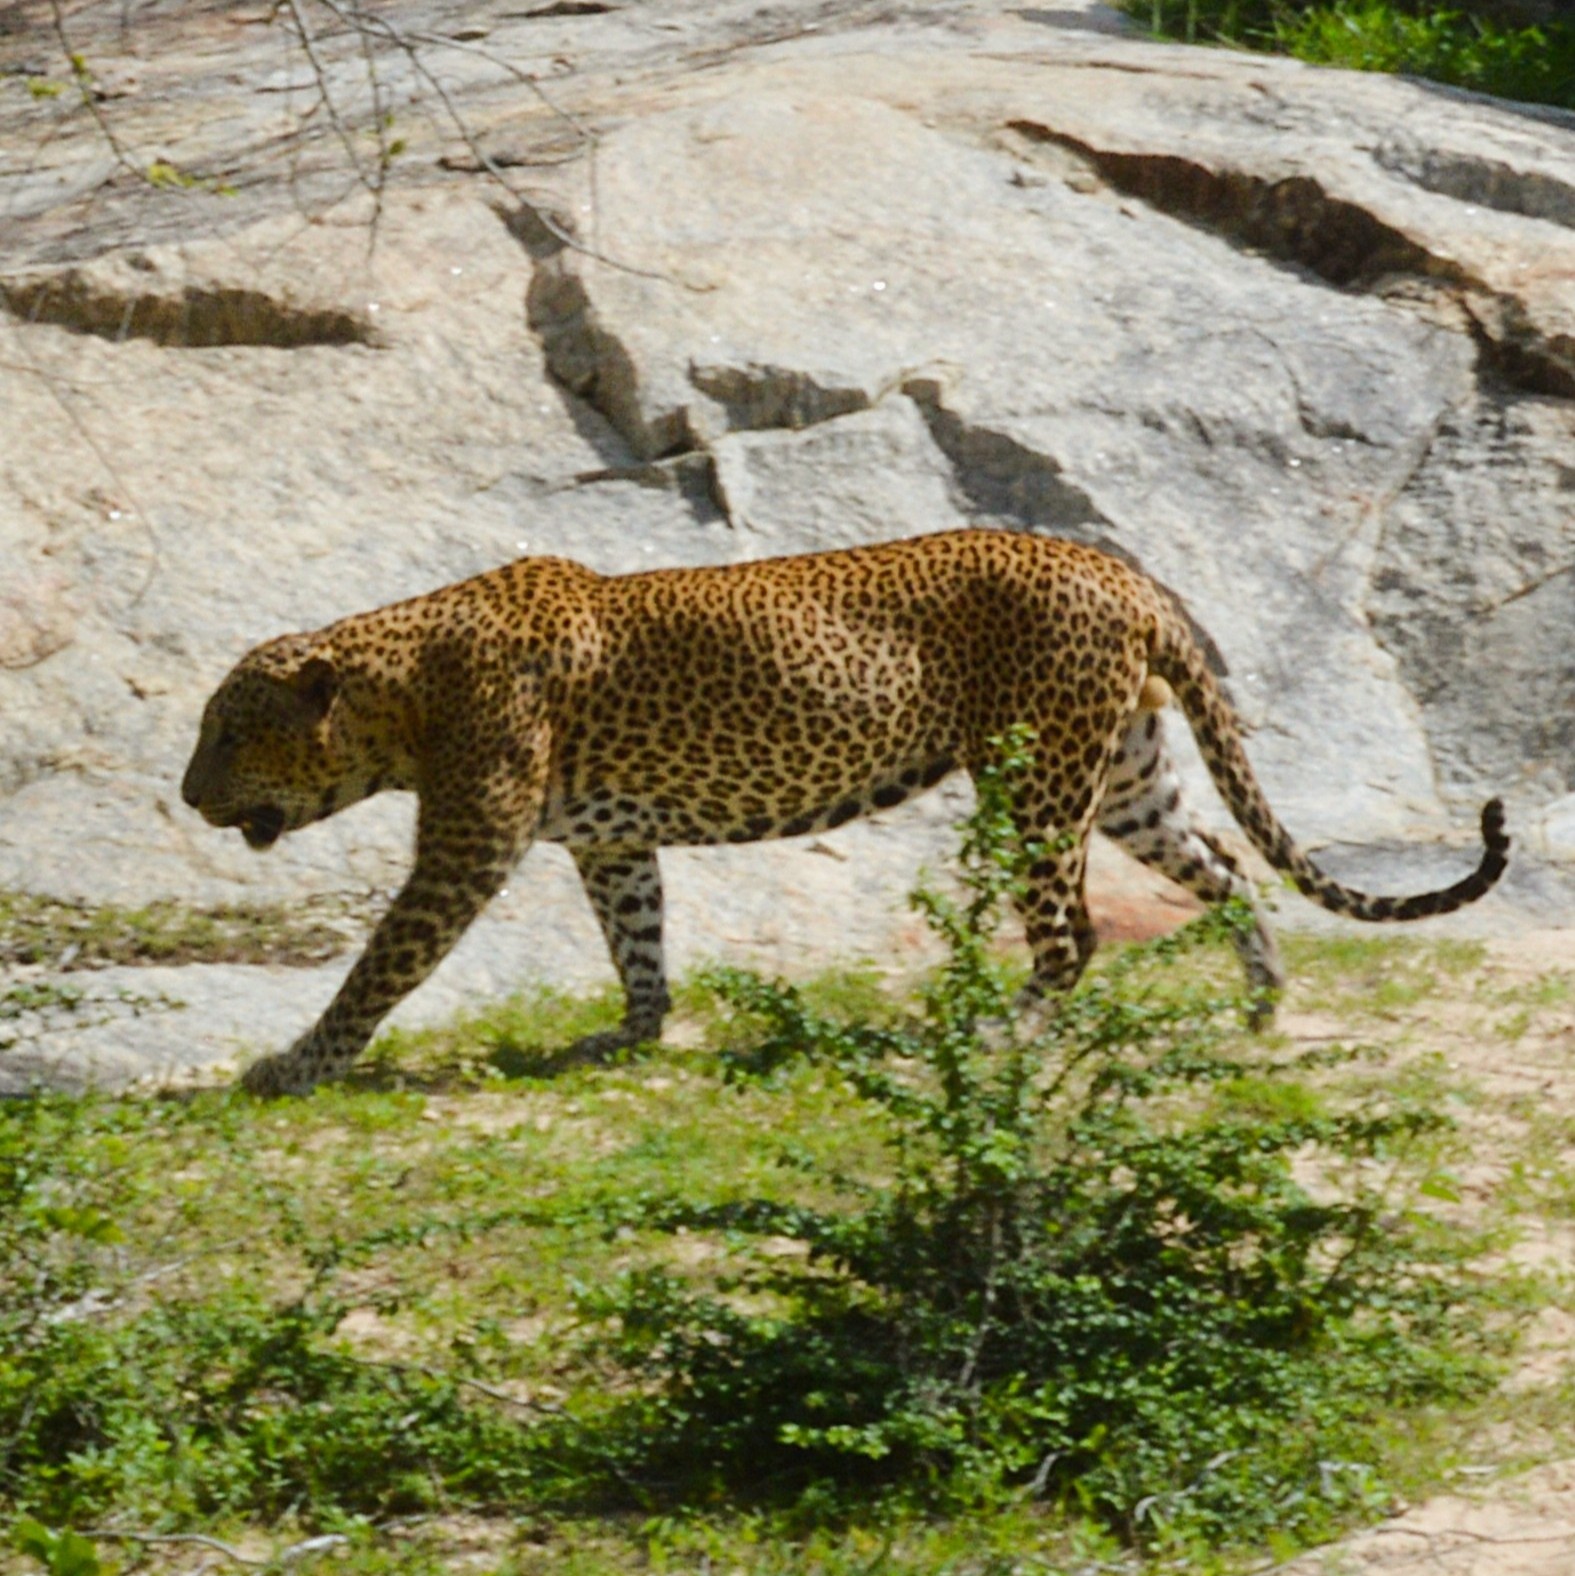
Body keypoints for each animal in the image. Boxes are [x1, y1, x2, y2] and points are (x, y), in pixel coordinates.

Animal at [180, 529, 1510, 1096]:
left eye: (227, 730)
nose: (188, 796)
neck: (399, 688)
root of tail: (1120, 571)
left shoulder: (467, 843)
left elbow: (381, 964)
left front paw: (294, 1063)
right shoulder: (611, 835)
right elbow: (637, 935)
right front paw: (636, 1034)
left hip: (1035, 776)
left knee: (1072, 930)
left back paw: (1003, 1030)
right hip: (1126, 771)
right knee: (1225, 865)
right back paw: (1263, 1002)